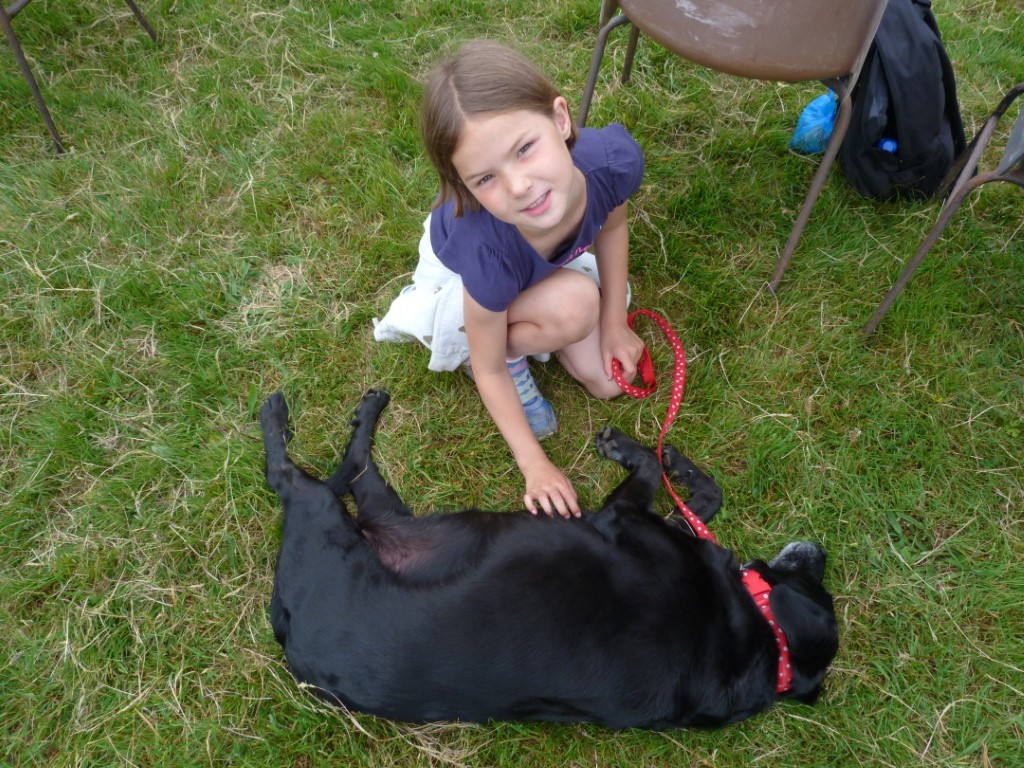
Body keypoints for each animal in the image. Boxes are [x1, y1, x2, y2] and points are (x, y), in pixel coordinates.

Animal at [260, 389, 838, 729]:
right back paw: (364, 410)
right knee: (355, 463)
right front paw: (679, 463)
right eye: (819, 577)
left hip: (325, 511)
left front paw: (628, 447)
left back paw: (278, 413)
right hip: (387, 513)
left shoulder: (618, 515)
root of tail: (291, 639)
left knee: (291, 474)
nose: (821, 549)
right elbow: (702, 494)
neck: (762, 641)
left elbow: (650, 469)